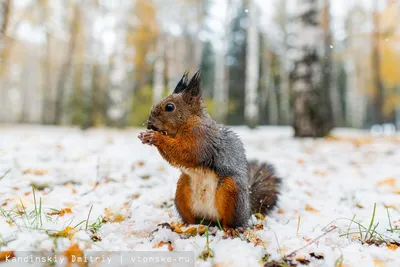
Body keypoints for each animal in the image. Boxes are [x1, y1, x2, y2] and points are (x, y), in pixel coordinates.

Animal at [138, 70, 282, 229]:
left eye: (169, 107)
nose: (149, 124)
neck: (188, 121)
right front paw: (147, 136)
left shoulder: (200, 139)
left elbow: (185, 152)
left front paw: (155, 137)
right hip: (181, 191)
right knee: (191, 219)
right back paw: (180, 226)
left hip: (231, 191)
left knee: (231, 222)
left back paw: (230, 230)